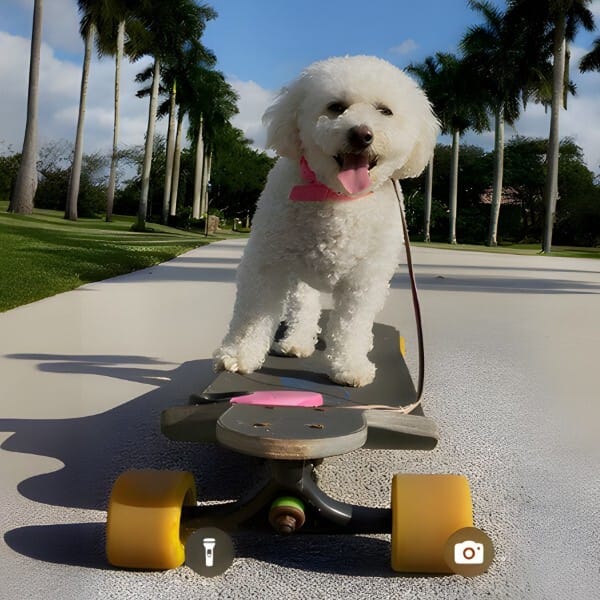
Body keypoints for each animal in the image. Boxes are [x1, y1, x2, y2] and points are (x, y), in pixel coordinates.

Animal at [214, 55, 439, 387]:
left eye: (384, 111)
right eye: (336, 107)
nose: (362, 134)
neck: (337, 196)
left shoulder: (365, 279)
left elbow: (352, 325)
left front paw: (350, 365)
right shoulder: (268, 262)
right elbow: (254, 313)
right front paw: (239, 354)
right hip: (298, 272)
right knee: (303, 305)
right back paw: (297, 341)